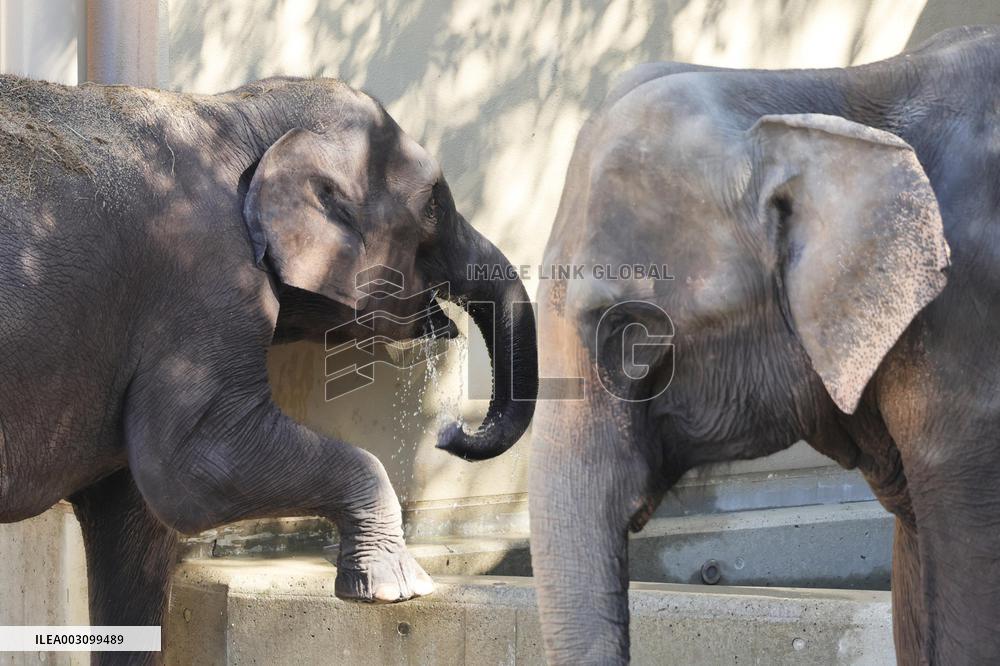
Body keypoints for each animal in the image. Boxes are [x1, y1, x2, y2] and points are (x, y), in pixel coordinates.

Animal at [0, 75, 536, 662]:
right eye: (435, 205)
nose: (450, 433)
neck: (239, 114)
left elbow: (135, 519)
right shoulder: (205, 288)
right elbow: (190, 468)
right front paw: (398, 589)